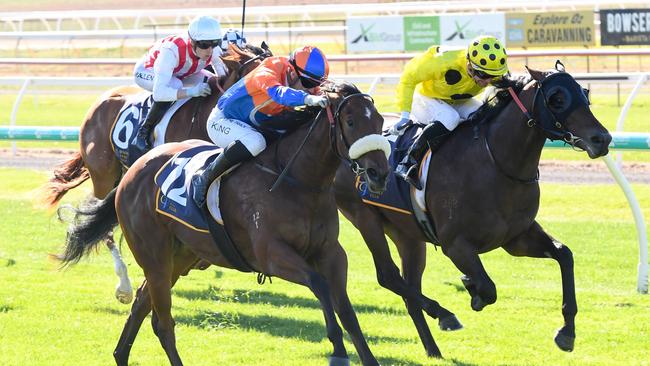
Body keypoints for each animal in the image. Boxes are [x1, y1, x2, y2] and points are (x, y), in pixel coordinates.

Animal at [59, 83, 390, 366]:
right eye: (350, 122)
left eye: (379, 122)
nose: (379, 174)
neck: (297, 179)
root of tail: (132, 172)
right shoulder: (272, 255)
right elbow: (320, 285)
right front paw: (338, 351)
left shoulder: (331, 253)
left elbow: (346, 309)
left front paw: (366, 357)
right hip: (154, 256)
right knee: (162, 322)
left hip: (180, 256)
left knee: (142, 305)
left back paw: (121, 354)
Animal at [332, 63, 612, 358]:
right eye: (557, 98)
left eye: (585, 93)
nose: (602, 139)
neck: (495, 162)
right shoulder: (455, 244)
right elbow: (488, 288)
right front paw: (472, 288)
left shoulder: (517, 237)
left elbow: (564, 254)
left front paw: (567, 332)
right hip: (365, 217)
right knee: (388, 275)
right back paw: (445, 315)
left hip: (406, 234)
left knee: (409, 290)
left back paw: (434, 349)